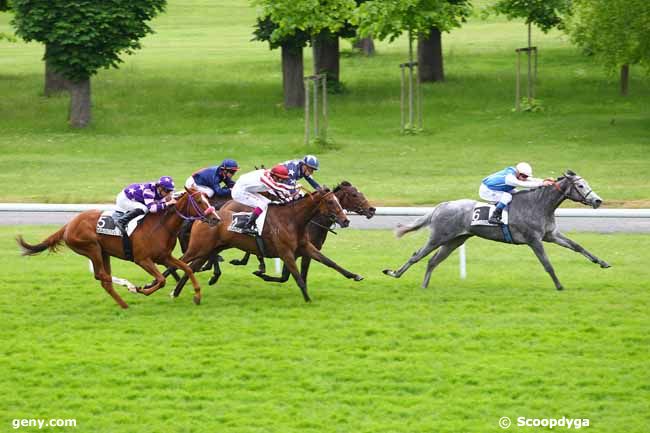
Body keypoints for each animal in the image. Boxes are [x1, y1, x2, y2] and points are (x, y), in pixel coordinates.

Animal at [16, 188, 219, 308]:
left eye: (208, 200)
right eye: (199, 201)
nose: (216, 218)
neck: (161, 226)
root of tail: (68, 225)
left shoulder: (164, 257)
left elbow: (186, 268)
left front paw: (197, 296)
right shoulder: (142, 259)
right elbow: (161, 279)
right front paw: (142, 289)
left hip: (103, 252)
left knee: (103, 278)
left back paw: (124, 299)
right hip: (92, 248)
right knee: (103, 277)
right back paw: (127, 292)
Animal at [167, 187, 350, 302]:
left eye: (338, 201)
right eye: (331, 202)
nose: (346, 220)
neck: (292, 220)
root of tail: (203, 217)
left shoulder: (305, 247)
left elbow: (329, 262)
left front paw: (353, 275)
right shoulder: (286, 252)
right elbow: (298, 277)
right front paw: (307, 298)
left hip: (208, 249)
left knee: (190, 267)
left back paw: (177, 291)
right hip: (198, 248)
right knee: (180, 262)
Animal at [380, 170, 608, 288]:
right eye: (580, 186)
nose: (598, 200)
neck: (539, 204)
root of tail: (441, 206)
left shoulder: (551, 235)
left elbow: (577, 246)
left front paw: (603, 262)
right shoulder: (534, 240)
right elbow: (547, 265)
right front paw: (559, 286)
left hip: (455, 241)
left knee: (432, 261)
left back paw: (424, 285)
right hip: (438, 237)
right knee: (417, 255)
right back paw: (394, 273)